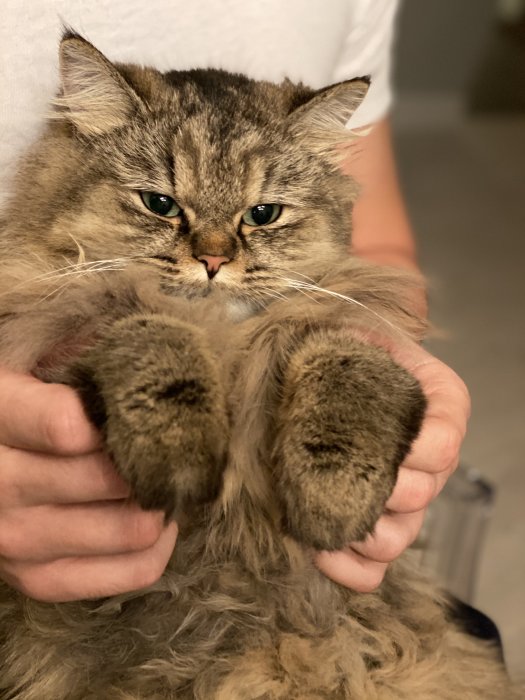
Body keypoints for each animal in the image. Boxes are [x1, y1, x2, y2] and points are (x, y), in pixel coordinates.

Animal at [0, 31, 516, 700]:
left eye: (263, 215)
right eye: (160, 204)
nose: (214, 261)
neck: (231, 342)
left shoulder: (339, 319)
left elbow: (346, 367)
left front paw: (332, 502)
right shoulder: (71, 313)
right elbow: (156, 334)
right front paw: (183, 462)